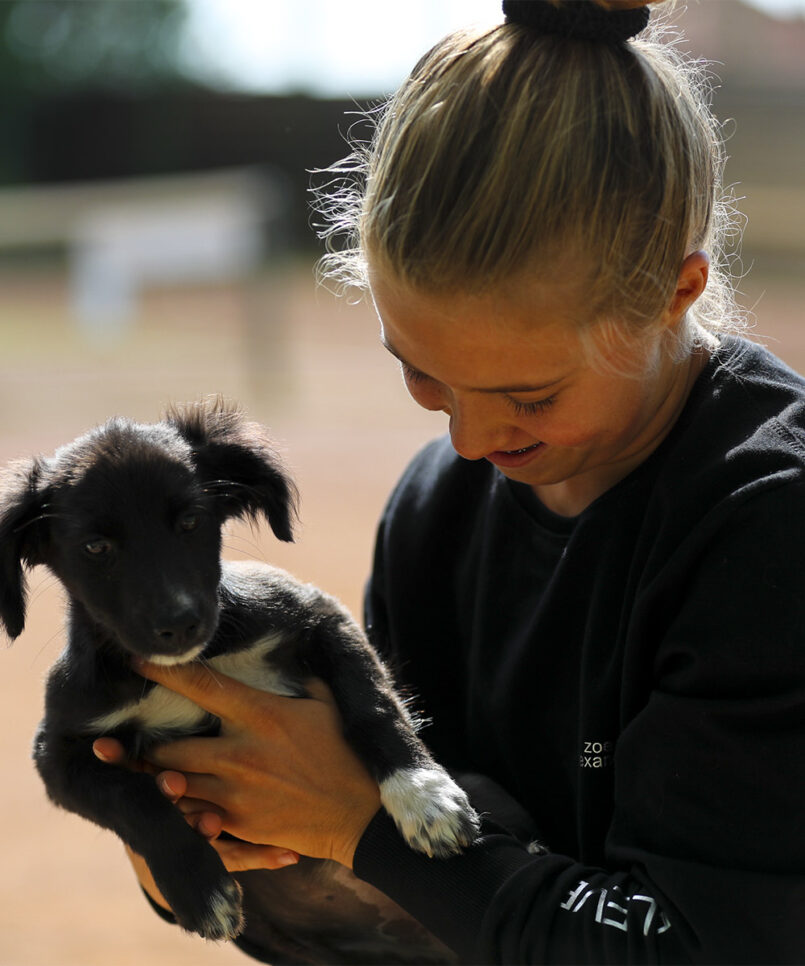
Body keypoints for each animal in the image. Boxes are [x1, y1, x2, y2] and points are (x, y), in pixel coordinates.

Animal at [0, 400, 478, 952]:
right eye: (96, 547)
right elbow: (133, 798)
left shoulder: (317, 614)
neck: (188, 663)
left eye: (191, 521)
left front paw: (422, 794)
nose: (179, 623)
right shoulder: (58, 750)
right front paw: (200, 889)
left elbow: (373, 704)